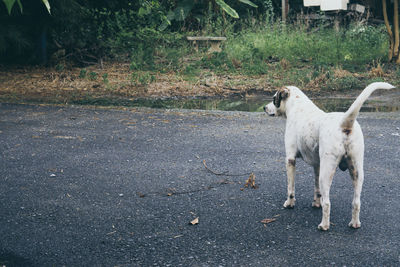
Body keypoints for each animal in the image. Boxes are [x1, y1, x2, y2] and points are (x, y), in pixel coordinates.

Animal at [264, 82, 396, 231]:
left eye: (274, 98)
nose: (264, 108)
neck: (298, 107)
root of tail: (344, 123)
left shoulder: (290, 160)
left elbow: (290, 188)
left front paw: (289, 203)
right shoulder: (317, 165)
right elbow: (317, 189)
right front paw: (316, 203)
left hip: (327, 174)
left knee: (327, 203)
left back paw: (324, 225)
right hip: (357, 173)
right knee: (356, 202)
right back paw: (354, 223)